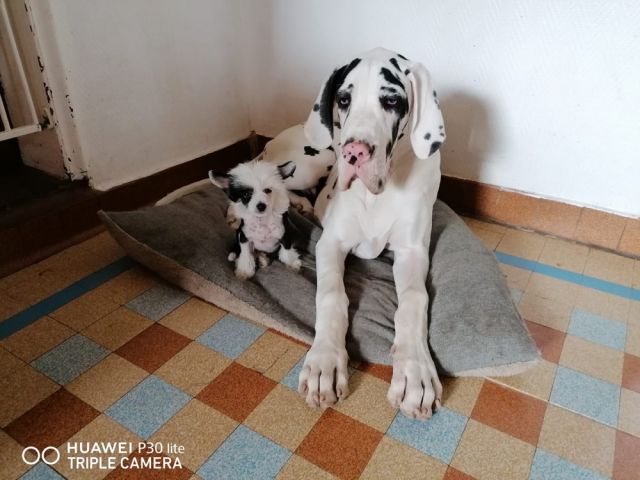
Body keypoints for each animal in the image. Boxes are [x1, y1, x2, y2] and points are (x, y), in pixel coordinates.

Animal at [295, 47, 447, 420]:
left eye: (391, 100)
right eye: (344, 99)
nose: (354, 152)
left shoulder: (411, 251)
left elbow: (414, 300)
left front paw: (415, 373)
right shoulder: (330, 243)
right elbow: (331, 294)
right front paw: (324, 363)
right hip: (309, 165)